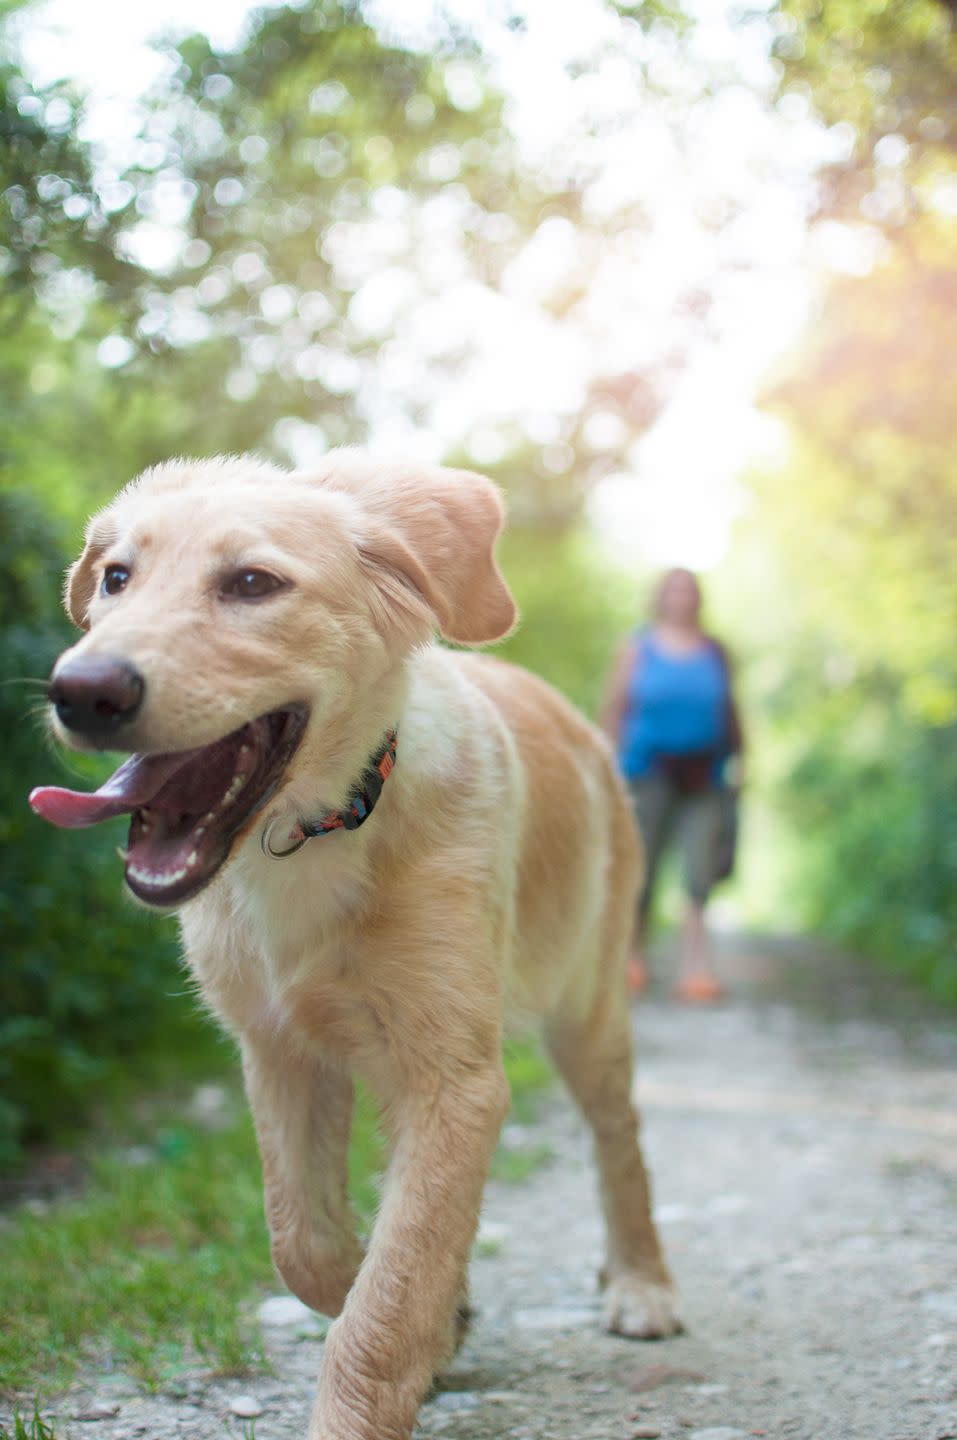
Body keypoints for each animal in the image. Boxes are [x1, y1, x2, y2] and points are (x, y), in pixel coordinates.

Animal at [31, 452, 679, 1440]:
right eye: (116, 579)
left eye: (252, 584)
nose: (82, 691)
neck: (319, 832)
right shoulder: (278, 1051)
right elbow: (310, 1244)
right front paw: (443, 1320)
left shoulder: (455, 1081)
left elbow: (389, 1293)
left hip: (590, 1003)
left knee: (620, 1141)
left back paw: (640, 1282)